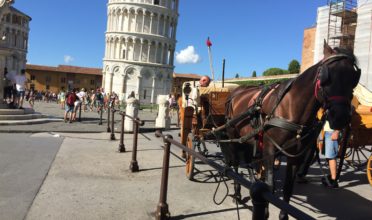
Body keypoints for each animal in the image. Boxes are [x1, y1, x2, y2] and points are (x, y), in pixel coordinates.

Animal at [222, 41, 358, 220]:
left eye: (354, 78)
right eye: (326, 76)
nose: (340, 117)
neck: (290, 108)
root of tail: (236, 92)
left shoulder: (295, 156)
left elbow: (287, 187)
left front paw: (283, 215)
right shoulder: (269, 150)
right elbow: (270, 186)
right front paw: (265, 211)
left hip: (248, 138)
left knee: (249, 162)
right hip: (233, 135)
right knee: (237, 164)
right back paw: (237, 193)